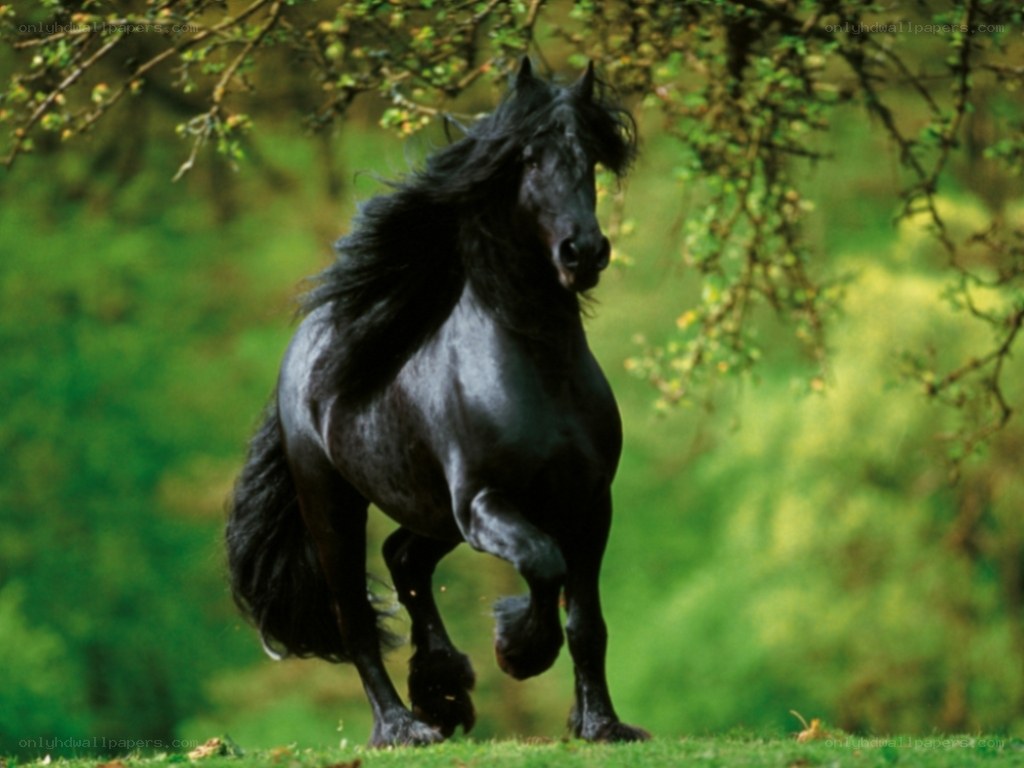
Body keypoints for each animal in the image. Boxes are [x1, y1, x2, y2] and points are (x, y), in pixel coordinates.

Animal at [226, 57, 648, 747]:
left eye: (588, 158)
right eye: (528, 158)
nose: (583, 252)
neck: (538, 372)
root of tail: (303, 349)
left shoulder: (589, 503)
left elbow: (587, 620)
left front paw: (602, 724)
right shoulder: (484, 502)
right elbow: (543, 564)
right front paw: (518, 650)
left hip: (430, 514)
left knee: (404, 560)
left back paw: (442, 689)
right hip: (335, 507)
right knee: (355, 619)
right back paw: (403, 726)